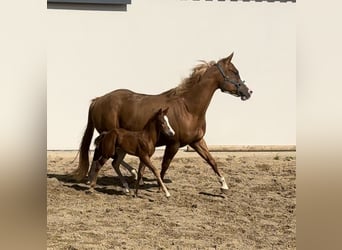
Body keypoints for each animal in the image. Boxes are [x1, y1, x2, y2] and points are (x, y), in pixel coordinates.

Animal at [74, 52, 251, 192]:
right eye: (234, 72)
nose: (248, 92)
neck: (189, 108)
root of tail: (98, 100)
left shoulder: (196, 141)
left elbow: (212, 161)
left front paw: (224, 185)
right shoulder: (173, 143)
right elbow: (164, 165)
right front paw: (160, 188)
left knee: (106, 158)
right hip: (111, 137)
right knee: (106, 157)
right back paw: (124, 176)